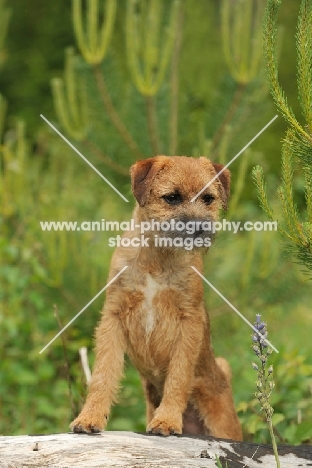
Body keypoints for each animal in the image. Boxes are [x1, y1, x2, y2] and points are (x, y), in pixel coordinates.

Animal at [71, 156, 244, 438]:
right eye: (172, 197)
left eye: (208, 198)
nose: (199, 228)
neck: (157, 259)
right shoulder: (113, 316)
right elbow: (102, 374)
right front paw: (89, 417)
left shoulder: (189, 321)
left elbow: (179, 375)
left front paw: (167, 420)